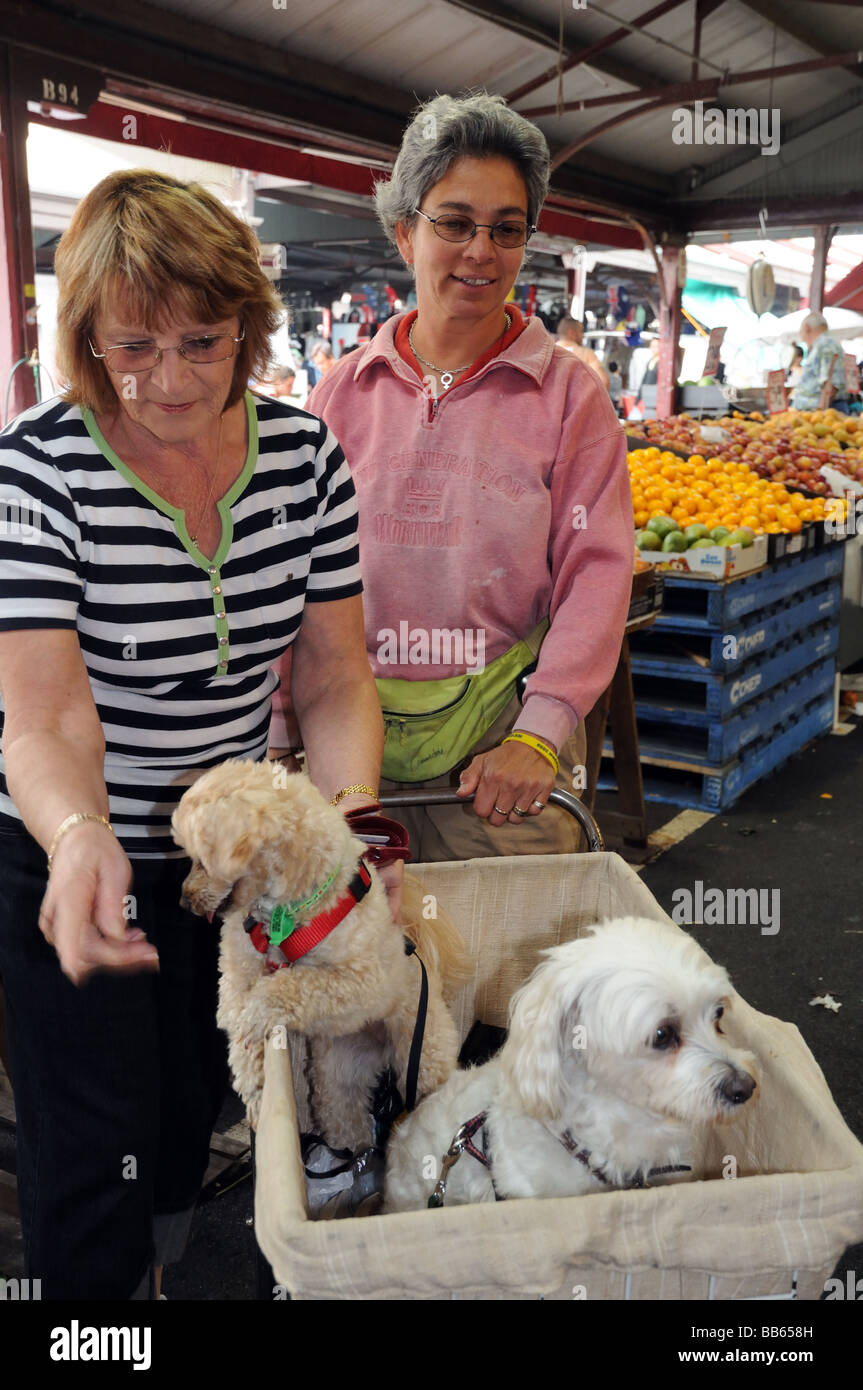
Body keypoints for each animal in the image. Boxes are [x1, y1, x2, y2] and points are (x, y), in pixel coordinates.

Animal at [172, 767, 466, 1145]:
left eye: (201, 860)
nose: (184, 902)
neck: (282, 916)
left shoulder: (363, 983)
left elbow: (283, 989)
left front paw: (257, 1015)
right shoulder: (237, 974)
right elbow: (237, 1025)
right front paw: (255, 1089)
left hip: (425, 1051)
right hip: (338, 1078)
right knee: (349, 1127)